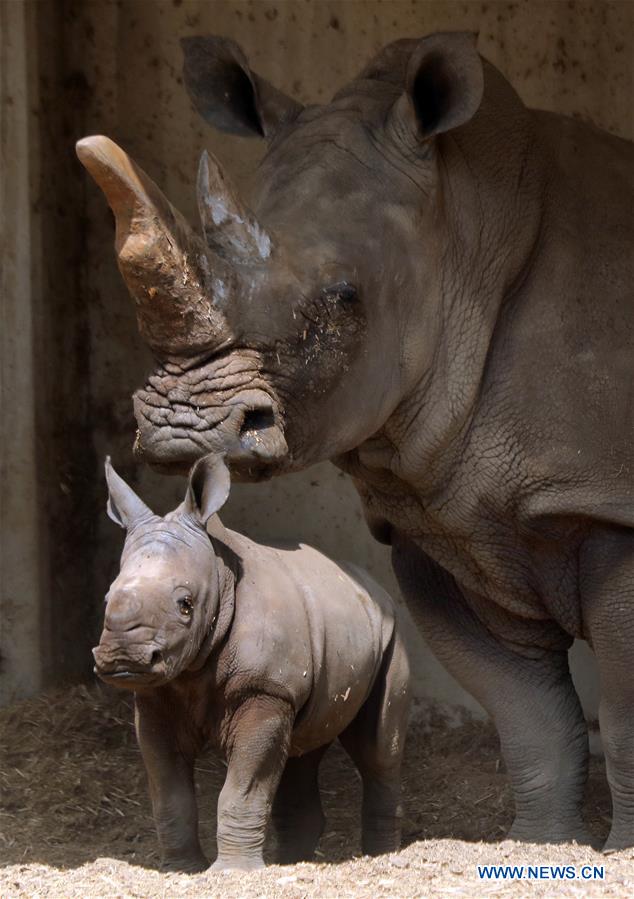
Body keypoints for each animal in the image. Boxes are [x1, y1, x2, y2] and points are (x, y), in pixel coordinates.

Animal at [93, 455, 410, 871]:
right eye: (106, 598)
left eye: (185, 605)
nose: (123, 656)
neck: (220, 576)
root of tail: (374, 587)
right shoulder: (156, 697)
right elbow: (170, 792)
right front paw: (181, 870)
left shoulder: (265, 689)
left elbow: (242, 788)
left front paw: (231, 873)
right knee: (302, 747)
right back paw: (292, 863)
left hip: (392, 631)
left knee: (377, 750)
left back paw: (381, 857)